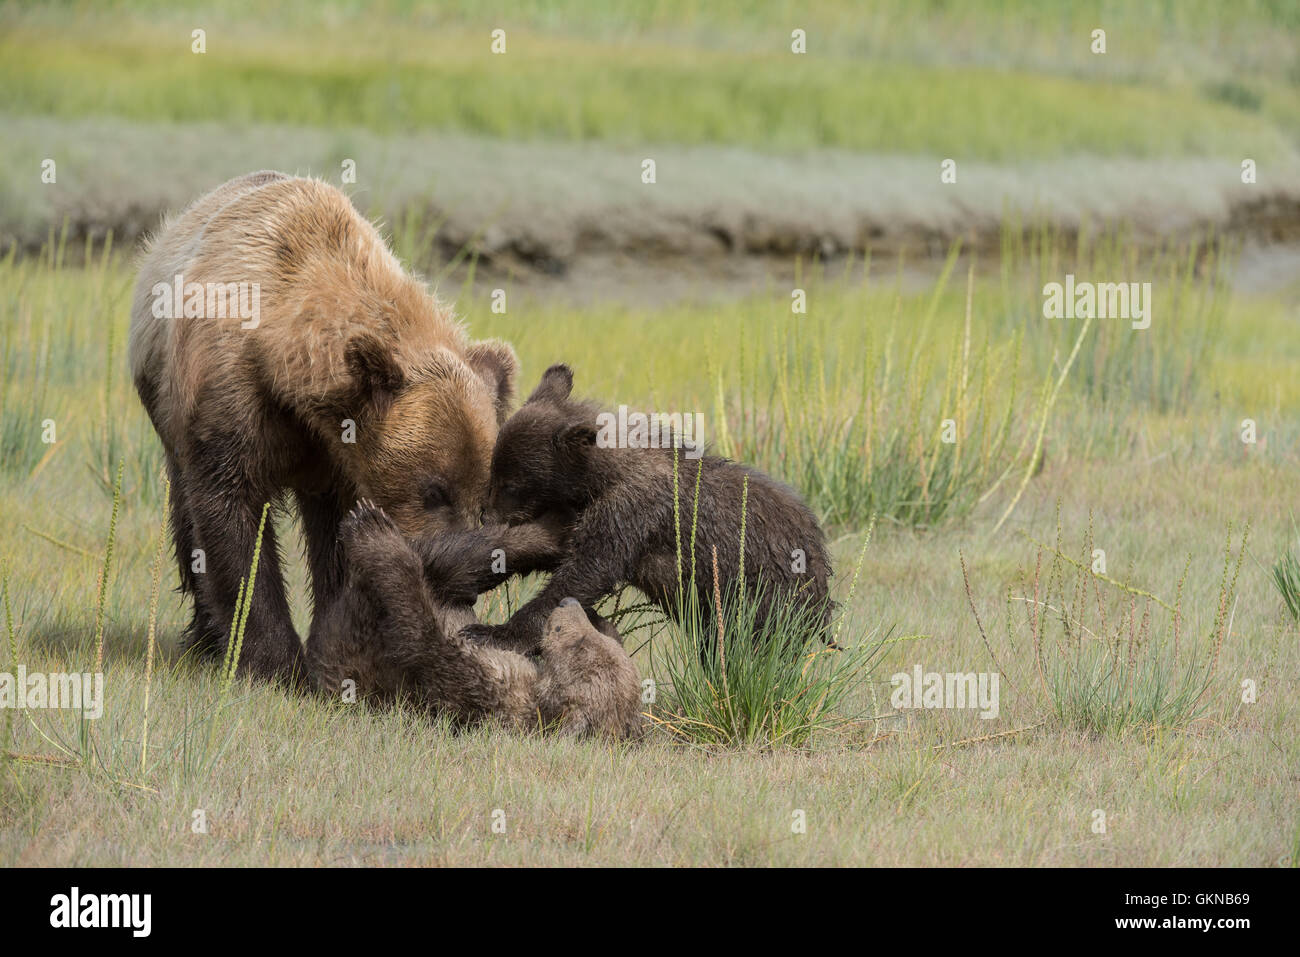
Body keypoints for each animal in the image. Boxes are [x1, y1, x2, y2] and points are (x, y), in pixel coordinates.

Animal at [129, 171, 517, 685]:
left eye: (483, 497)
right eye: (434, 490)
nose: (467, 583)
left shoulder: (339, 455)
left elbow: (339, 536)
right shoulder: (229, 393)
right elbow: (230, 510)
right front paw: (273, 660)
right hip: (166, 409)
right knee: (185, 515)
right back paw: (207, 637)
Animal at [306, 501, 643, 740]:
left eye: (580, 645)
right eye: (595, 639)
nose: (569, 603)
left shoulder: (479, 690)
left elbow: (420, 637)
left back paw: (370, 528)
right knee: (457, 560)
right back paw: (555, 530)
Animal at [461, 364, 834, 656]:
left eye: (511, 484)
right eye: (493, 472)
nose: (486, 516)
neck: (598, 478)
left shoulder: (632, 510)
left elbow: (585, 571)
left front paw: (494, 632)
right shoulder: (582, 513)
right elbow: (554, 548)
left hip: (766, 592)